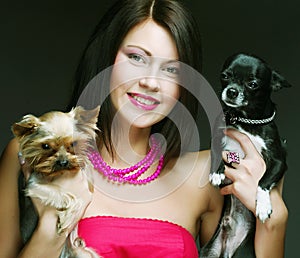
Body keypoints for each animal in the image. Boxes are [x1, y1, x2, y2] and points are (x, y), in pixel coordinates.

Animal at [12, 105, 101, 258]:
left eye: (73, 143)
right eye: (46, 146)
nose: (63, 162)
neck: (59, 174)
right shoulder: (33, 185)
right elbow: (69, 196)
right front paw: (66, 220)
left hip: (83, 253)